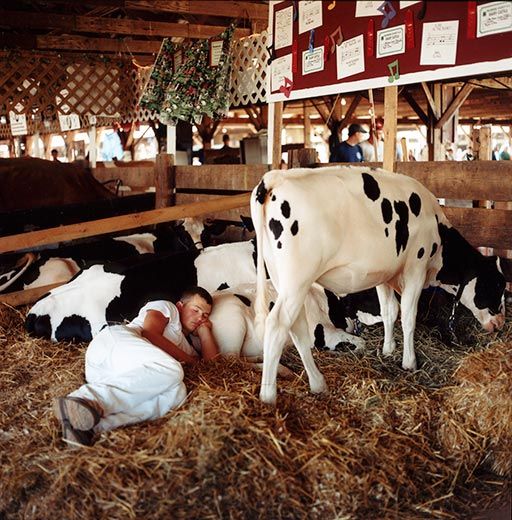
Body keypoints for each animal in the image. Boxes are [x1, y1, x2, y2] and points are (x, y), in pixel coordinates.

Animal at [250, 165, 506, 404]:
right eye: (497, 285)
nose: (500, 323)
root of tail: (274, 178)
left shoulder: (385, 274)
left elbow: (389, 311)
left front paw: (388, 349)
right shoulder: (416, 267)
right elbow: (408, 317)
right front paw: (409, 362)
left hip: (284, 280)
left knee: (297, 328)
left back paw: (317, 383)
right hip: (297, 279)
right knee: (277, 324)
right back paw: (268, 396)